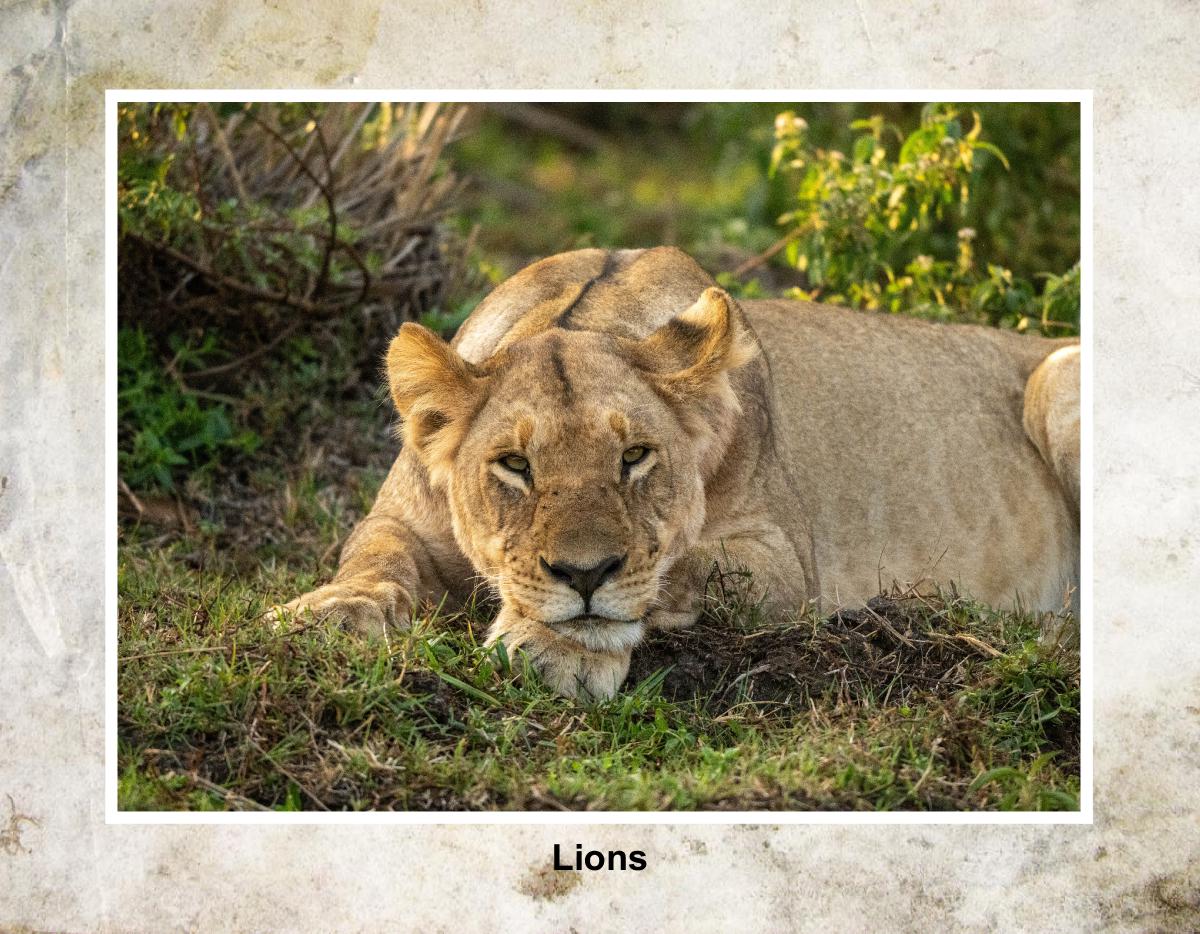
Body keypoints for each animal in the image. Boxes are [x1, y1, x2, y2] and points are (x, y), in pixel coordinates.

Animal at [272, 247, 1081, 699]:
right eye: (515, 466)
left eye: (635, 457)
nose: (583, 572)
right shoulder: (400, 516)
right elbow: (375, 557)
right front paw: (326, 614)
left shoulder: (783, 560)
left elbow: (675, 567)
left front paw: (559, 648)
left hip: (1058, 380)